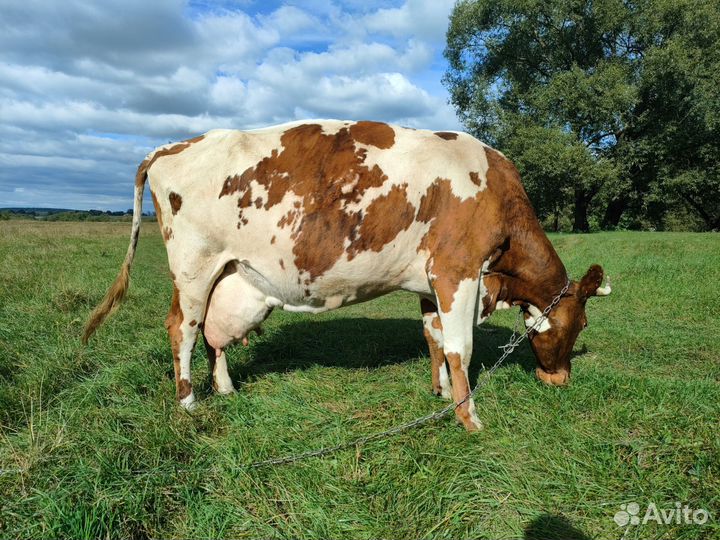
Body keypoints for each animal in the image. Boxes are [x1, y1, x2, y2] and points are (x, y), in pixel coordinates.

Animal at [82, 120, 611, 431]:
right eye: (582, 323)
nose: (558, 380)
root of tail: (172, 145)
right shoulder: (456, 271)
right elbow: (461, 347)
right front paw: (469, 418)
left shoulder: (427, 281)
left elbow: (434, 338)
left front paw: (439, 392)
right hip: (193, 268)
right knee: (184, 329)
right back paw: (189, 402)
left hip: (225, 275)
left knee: (213, 335)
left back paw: (226, 389)